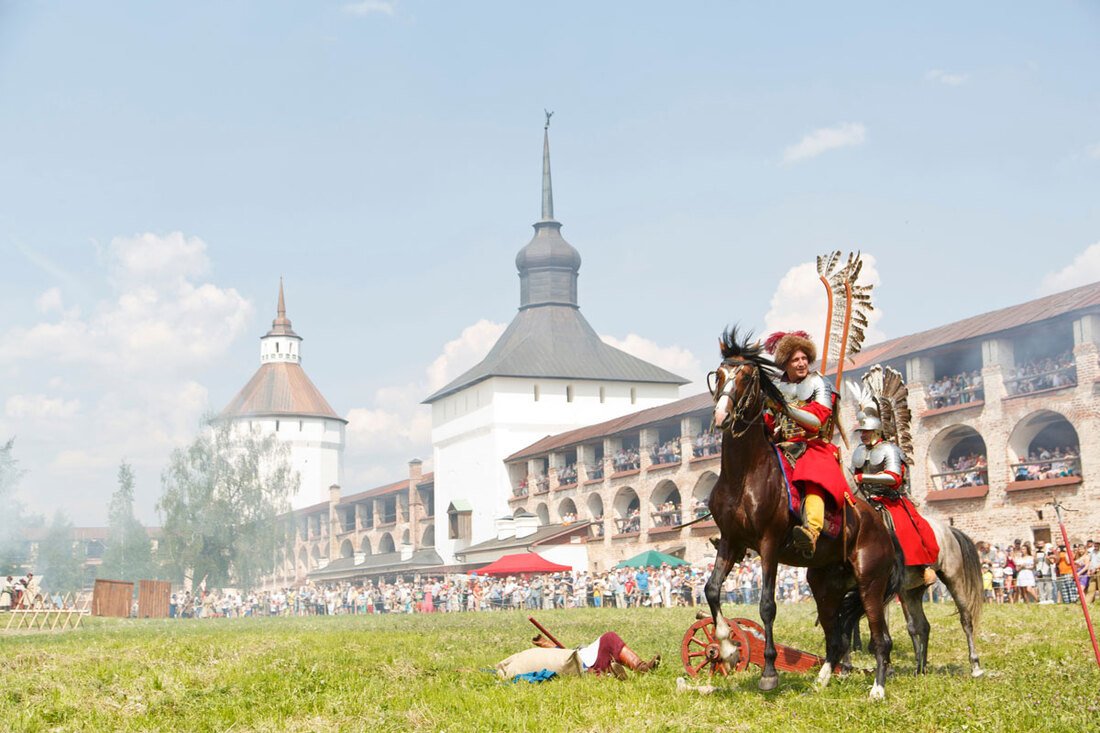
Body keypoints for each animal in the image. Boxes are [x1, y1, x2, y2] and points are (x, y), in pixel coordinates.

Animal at [704, 327, 902, 699]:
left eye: (747, 377)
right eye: (720, 375)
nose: (722, 417)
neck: (744, 473)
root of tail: (880, 523)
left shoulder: (768, 545)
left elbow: (767, 605)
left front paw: (769, 672)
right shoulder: (731, 541)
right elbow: (711, 590)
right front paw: (726, 647)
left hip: (870, 582)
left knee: (881, 639)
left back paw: (878, 689)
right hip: (825, 585)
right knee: (834, 637)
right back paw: (822, 680)